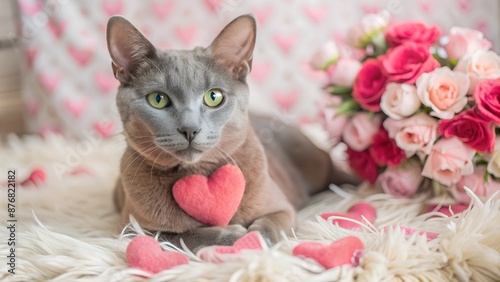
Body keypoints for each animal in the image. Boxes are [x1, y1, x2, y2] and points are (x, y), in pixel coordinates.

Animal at [107, 14, 358, 250]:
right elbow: (181, 235)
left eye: (214, 96)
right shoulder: (132, 228)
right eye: (158, 99)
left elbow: (268, 225)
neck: (198, 171)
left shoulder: (282, 208)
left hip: (315, 163)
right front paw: (233, 235)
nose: (190, 128)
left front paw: (254, 239)